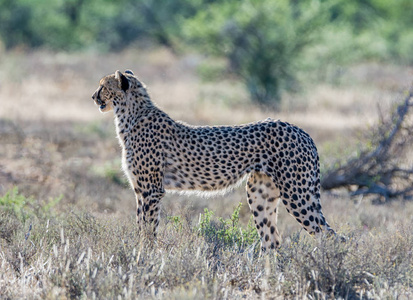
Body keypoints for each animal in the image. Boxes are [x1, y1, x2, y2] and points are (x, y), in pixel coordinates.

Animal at [91, 69, 336, 250]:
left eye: (103, 86)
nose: (93, 97)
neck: (131, 116)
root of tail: (300, 130)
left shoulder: (151, 191)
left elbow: (148, 229)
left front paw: (144, 257)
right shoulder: (141, 191)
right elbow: (141, 226)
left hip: (297, 194)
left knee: (328, 235)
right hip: (259, 194)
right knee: (272, 241)